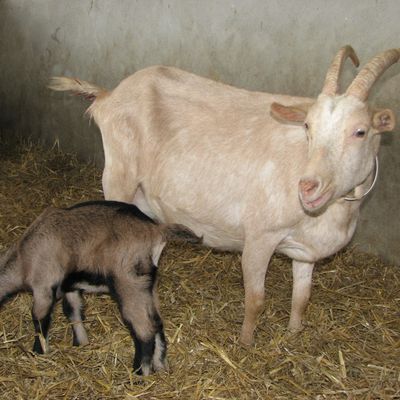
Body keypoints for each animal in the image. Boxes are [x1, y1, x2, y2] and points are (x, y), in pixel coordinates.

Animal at [48, 47, 398, 346]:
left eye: (360, 131)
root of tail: (110, 95)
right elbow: (255, 300)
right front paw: (246, 344)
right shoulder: (260, 236)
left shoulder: (304, 251)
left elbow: (302, 297)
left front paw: (294, 334)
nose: (308, 187)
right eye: (309, 127)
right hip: (118, 177)